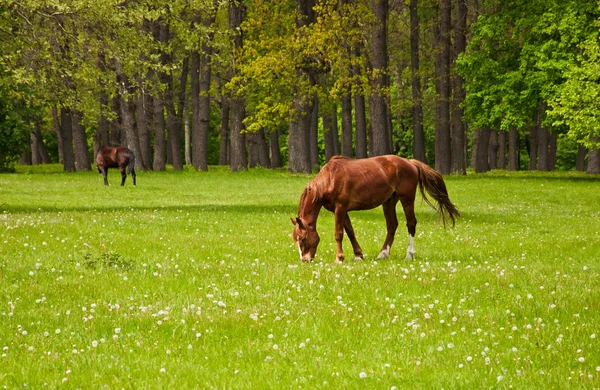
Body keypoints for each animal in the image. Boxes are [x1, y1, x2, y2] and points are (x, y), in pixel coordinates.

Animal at [292, 157, 462, 264]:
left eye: (302, 239)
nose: (305, 260)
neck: (329, 179)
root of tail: (410, 163)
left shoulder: (340, 208)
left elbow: (339, 234)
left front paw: (339, 258)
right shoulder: (341, 210)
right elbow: (350, 232)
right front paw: (358, 255)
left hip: (406, 199)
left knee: (411, 224)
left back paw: (409, 255)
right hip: (389, 202)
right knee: (392, 225)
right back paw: (383, 254)